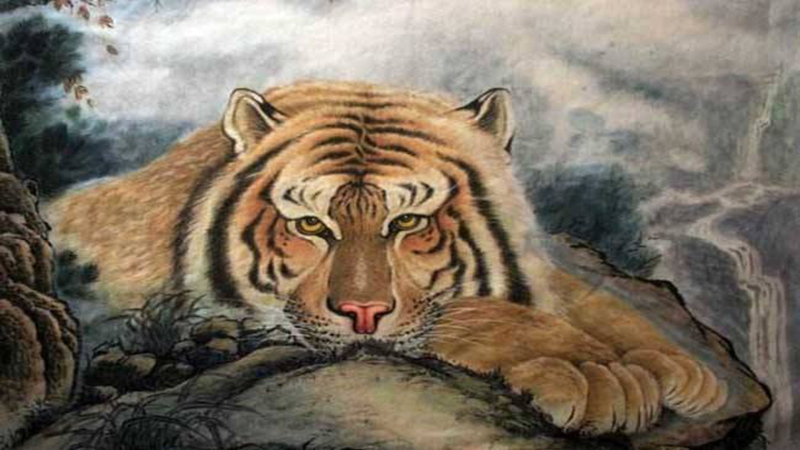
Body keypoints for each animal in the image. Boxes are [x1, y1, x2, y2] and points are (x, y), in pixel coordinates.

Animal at [44, 80, 770, 445]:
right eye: (311, 225)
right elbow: (481, 315)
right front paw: (598, 378)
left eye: (409, 222)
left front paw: (688, 370)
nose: (363, 313)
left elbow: (585, 296)